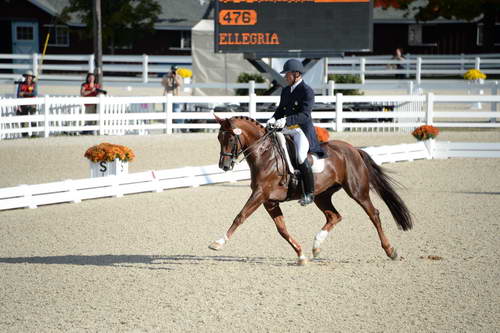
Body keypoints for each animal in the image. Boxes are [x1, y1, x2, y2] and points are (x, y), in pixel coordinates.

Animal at [209, 115, 412, 264]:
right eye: (218, 138)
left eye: (230, 138)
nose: (223, 166)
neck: (265, 154)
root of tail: (354, 149)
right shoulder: (269, 201)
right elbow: (282, 229)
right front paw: (301, 255)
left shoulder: (260, 194)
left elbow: (240, 216)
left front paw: (218, 243)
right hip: (322, 195)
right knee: (334, 216)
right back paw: (316, 246)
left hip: (357, 191)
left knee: (373, 214)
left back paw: (390, 250)